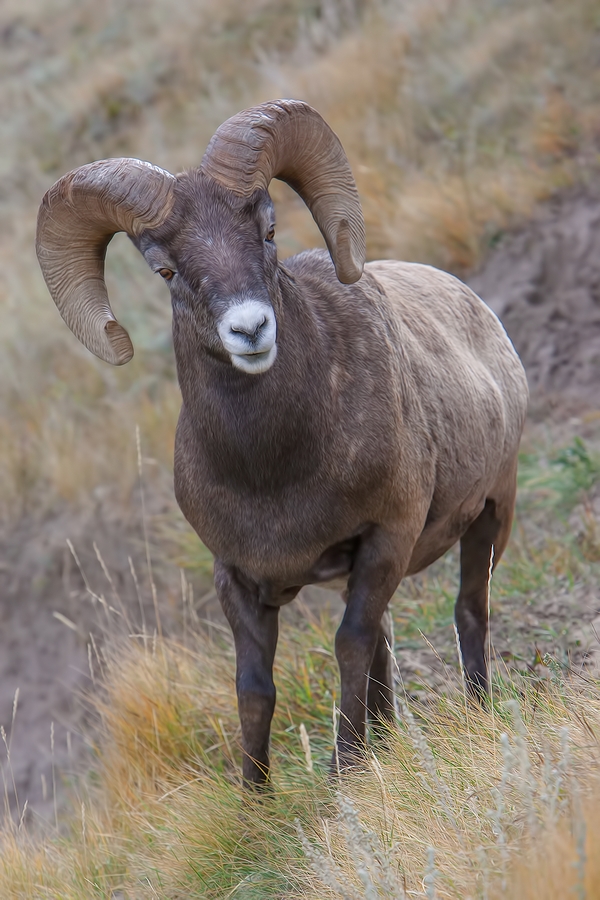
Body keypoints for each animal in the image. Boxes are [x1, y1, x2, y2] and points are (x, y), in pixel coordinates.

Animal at [35, 100, 528, 788]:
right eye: (165, 268)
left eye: (267, 231)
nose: (250, 329)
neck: (273, 472)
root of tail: (478, 309)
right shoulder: (237, 577)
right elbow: (254, 687)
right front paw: (255, 796)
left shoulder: (387, 538)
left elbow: (349, 644)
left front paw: (345, 769)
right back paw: (387, 738)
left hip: (492, 513)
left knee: (467, 610)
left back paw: (473, 710)